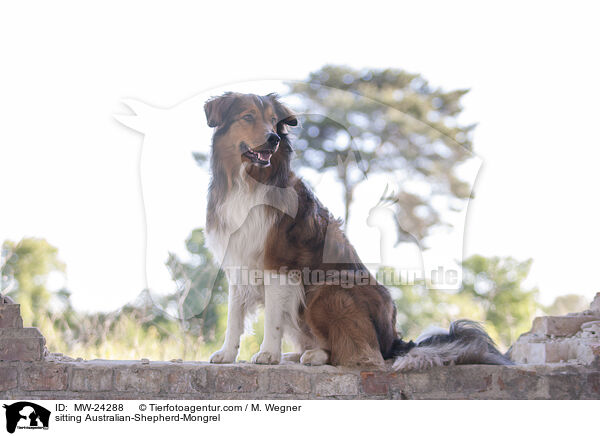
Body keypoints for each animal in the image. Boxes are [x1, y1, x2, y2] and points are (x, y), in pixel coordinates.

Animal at [203, 92, 510, 372]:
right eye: (248, 117)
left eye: (273, 121)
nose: (273, 139)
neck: (248, 182)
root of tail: (393, 343)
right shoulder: (237, 262)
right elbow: (234, 315)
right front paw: (227, 354)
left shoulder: (278, 264)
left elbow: (272, 319)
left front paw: (268, 353)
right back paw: (297, 354)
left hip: (327, 289)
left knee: (359, 353)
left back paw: (315, 355)